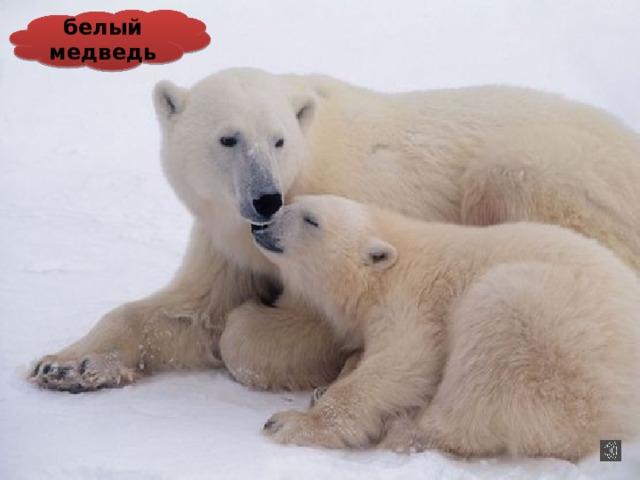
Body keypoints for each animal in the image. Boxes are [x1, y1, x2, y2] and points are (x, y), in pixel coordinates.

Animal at [30, 68, 640, 394]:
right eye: (229, 138)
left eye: (278, 140)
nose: (266, 198)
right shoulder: (225, 235)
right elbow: (191, 308)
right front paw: (66, 363)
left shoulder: (349, 221)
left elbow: (280, 324)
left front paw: (266, 327)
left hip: (554, 170)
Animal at [254, 195, 640, 460]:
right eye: (293, 204)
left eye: (311, 219)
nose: (263, 225)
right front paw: (328, 383)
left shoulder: (412, 300)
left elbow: (402, 364)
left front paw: (290, 422)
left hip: (553, 335)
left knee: (486, 369)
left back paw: (406, 428)